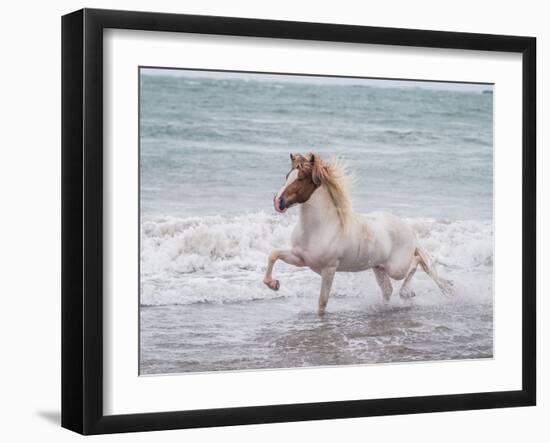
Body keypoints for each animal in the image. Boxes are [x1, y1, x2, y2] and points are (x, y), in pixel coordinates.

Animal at [266, 153, 454, 316]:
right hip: (379, 268)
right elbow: (273, 254)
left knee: (416, 261)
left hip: (396, 269)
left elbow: (322, 303)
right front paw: (274, 285)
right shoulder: (300, 259)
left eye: (300, 179)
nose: (278, 202)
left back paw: (407, 293)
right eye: (287, 176)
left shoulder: (329, 269)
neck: (317, 228)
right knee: (388, 290)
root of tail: (409, 231)